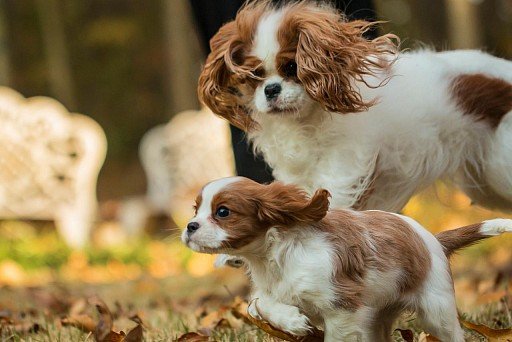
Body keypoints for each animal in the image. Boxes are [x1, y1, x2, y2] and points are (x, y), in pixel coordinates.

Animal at [182, 178, 512, 340]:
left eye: (223, 212)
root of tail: (433, 238)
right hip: (379, 317)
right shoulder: (268, 291)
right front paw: (292, 322)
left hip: (436, 311)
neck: (274, 255)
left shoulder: (341, 306)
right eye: (195, 209)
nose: (189, 226)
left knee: (452, 333)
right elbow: (256, 304)